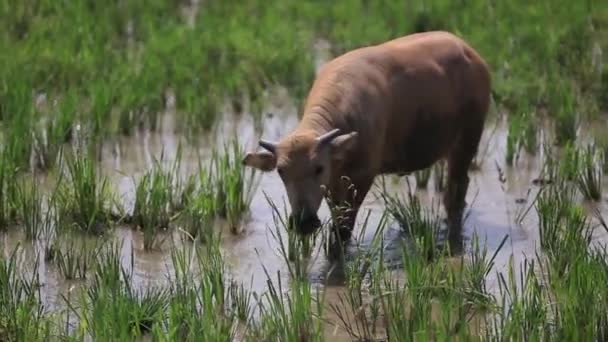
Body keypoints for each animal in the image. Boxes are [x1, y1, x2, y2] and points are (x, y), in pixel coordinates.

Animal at [241, 29, 490, 243]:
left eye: (319, 168)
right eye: (281, 171)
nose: (304, 223)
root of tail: (471, 54)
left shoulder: (363, 176)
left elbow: (344, 227)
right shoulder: (334, 182)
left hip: (468, 140)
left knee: (456, 190)